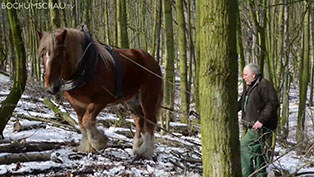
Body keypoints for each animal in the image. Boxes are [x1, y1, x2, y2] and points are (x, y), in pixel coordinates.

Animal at [38, 27, 163, 159]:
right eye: (42, 55)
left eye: (58, 56)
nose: (51, 88)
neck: (85, 66)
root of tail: (152, 61)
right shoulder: (77, 104)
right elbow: (81, 123)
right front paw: (87, 147)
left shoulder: (101, 100)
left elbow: (87, 120)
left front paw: (99, 140)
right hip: (132, 102)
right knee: (140, 121)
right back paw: (137, 147)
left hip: (148, 98)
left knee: (150, 121)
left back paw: (145, 151)